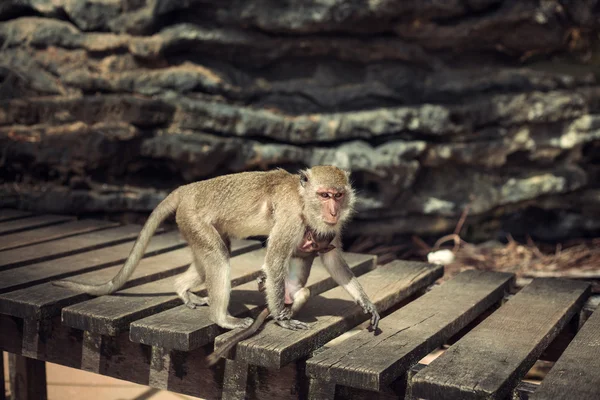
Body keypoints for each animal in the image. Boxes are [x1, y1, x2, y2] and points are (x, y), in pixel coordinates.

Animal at [52, 167, 380, 336]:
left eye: (338, 195)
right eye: (324, 195)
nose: (333, 210)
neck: (303, 200)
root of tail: (187, 189)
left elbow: (333, 259)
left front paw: (366, 302)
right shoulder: (290, 218)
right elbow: (275, 260)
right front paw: (282, 319)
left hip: (192, 224)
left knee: (209, 259)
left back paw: (181, 288)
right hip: (193, 218)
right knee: (219, 257)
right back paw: (222, 318)